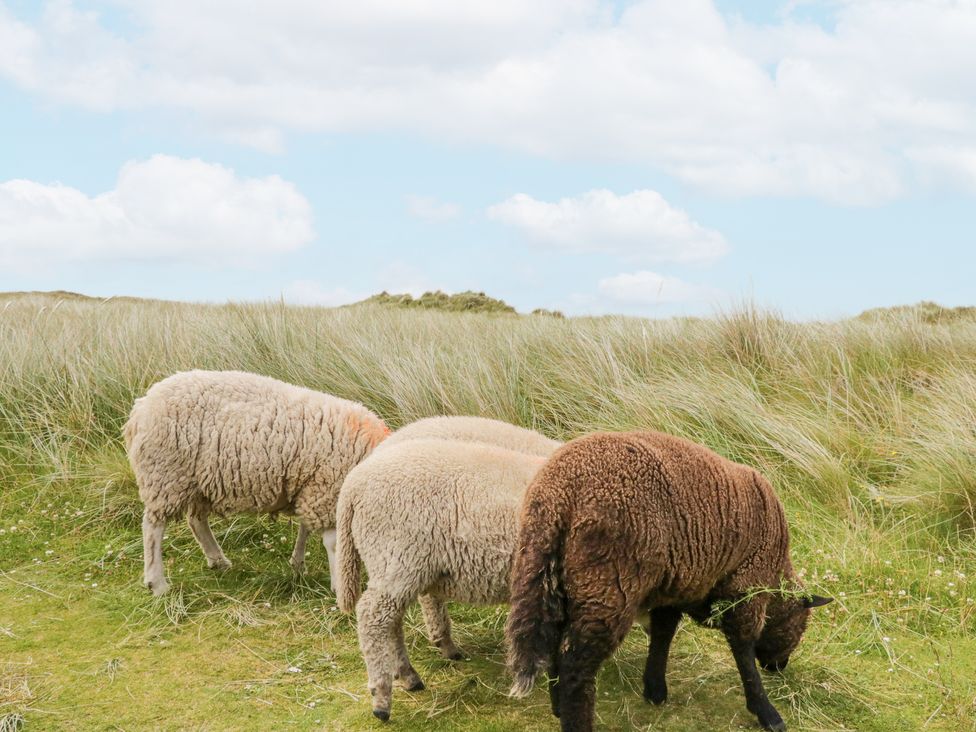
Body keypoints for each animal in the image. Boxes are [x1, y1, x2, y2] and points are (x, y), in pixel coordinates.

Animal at [124, 368, 390, 596]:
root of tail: (140, 408)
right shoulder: (326, 489)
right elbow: (333, 543)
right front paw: (339, 587)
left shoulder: (308, 487)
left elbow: (305, 529)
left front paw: (297, 563)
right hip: (164, 475)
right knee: (153, 527)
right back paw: (157, 582)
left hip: (198, 482)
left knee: (196, 521)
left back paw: (218, 560)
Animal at [336, 438, 548, 724]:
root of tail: (353, 484)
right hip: (396, 555)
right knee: (374, 618)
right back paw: (381, 698)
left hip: (396, 565)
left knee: (391, 621)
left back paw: (408, 676)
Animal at [504, 428, 832, 732]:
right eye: (800, 627)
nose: (779, 667)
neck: (776, 573)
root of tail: (561, 494)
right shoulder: (746, 588)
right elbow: (743, 652)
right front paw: (767, 712)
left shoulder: (676, 586)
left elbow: (663, 634)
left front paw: (655, 689)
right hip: (609, 584)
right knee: (576, 665)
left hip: (550, 572)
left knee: (555, 644)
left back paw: (558, 706)